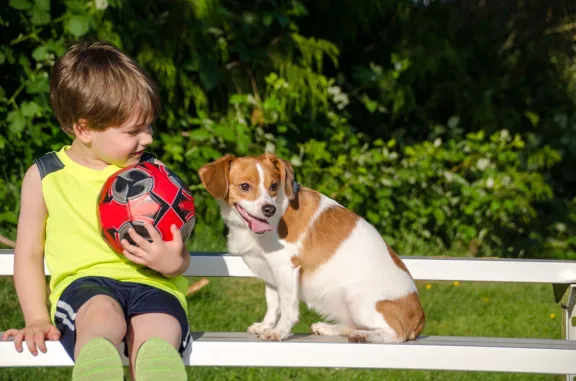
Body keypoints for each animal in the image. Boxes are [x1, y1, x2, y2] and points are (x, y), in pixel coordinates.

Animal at [200, 153, 426, 342]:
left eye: (274, 186)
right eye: (245, 186)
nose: (268, 209)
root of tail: (420, 317)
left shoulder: (286, 267)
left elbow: (287, 306)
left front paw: (279, 332)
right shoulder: (271, 272)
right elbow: (273, 303)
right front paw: (266, 325)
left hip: (360, 300)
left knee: (395, 334)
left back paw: (363, 336)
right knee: (353, 325)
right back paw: (331, 328)